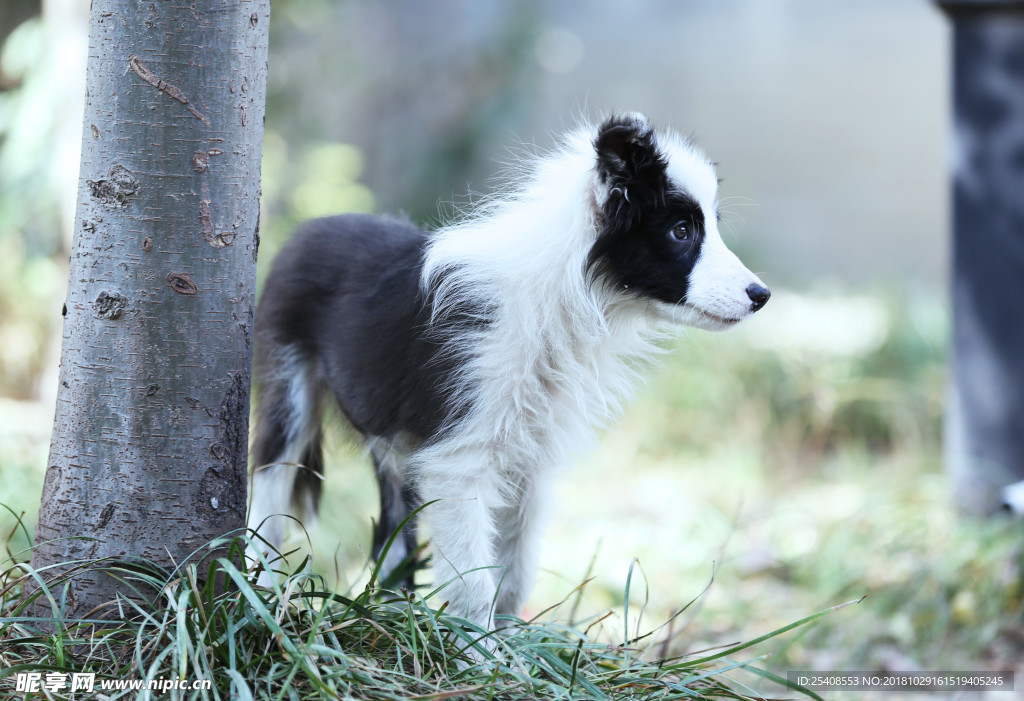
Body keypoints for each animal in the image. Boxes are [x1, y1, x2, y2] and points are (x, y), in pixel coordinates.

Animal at [247, 113, 770, 630]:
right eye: (681, 231)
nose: (761, 295)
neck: (565, 293)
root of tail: (307, 229)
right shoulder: (458, 460)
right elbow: (474, 583)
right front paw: (481, 649)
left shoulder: (529, 460)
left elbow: (515, 569)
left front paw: (513, 640)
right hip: (288, 383)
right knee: (271, 485)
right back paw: (263, 596)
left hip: (391, 439)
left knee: (393, 533)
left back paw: (387, 617)